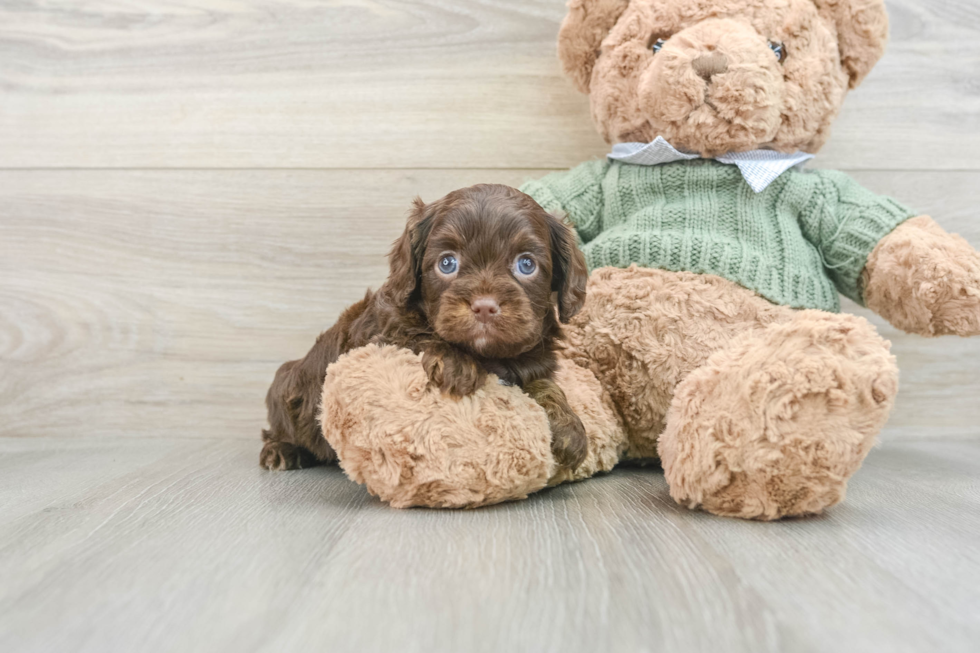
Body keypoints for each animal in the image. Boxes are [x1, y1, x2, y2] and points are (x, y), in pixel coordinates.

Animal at [260, 183, 588, 474]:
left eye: (526, 264)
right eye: (447, 263)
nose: (484, 306)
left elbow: (543, 384)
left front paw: (569, 426)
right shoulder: (377, 338)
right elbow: (417, 337)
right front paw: (455, 362)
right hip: (284, 391)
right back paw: (281, 451)